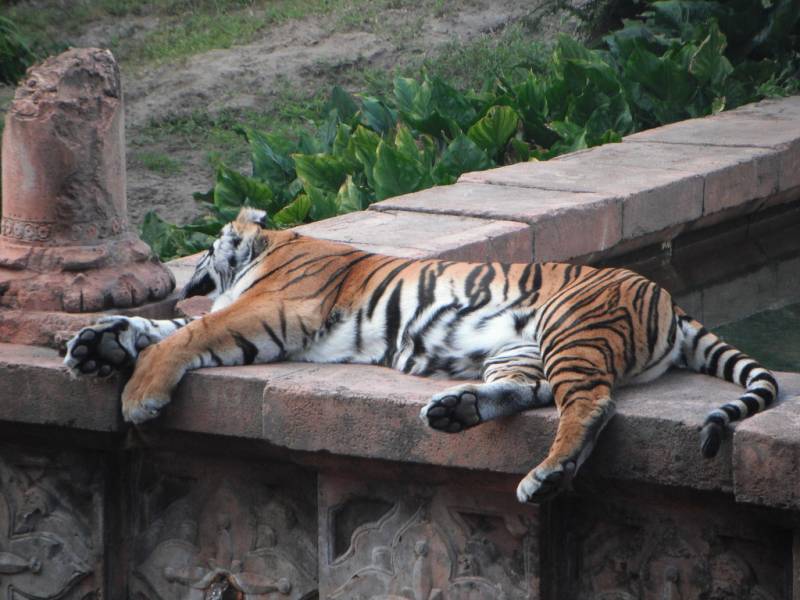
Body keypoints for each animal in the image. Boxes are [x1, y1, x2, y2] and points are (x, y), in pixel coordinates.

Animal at [64, 207, 779, 503]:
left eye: (208, 247)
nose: (188, 271)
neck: (273, 245)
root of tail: (666, 295)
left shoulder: (269, 311)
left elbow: (183, 336)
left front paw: (138, 396)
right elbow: (158, 326)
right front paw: (96, 343)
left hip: (572, 331)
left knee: (591, 404)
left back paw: (545, 476)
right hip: (522, 348)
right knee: (529, 392)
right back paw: (454, 411)